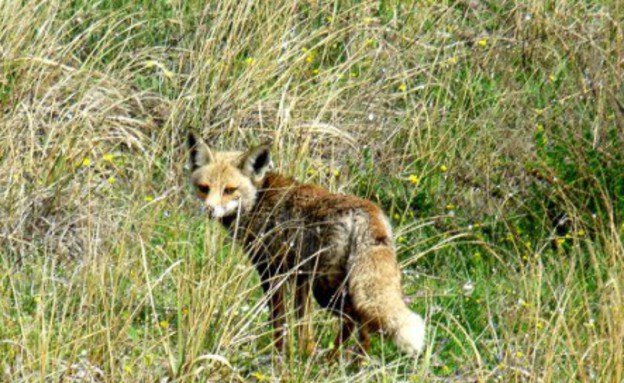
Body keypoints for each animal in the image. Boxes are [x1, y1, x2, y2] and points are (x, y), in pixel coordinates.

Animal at [188, 134, 426, 358]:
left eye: (229, 190)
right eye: (204, 188)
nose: (209, 210)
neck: (258, 199)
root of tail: (367, 211)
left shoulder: (271, 271)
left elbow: (278, 322)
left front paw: (279, 357)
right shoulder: (300, 277)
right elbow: (303, 324)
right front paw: (304, 354)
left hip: (326, 289)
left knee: (353, 320)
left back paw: (332, 362)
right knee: (363, 327)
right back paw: (352, 364)